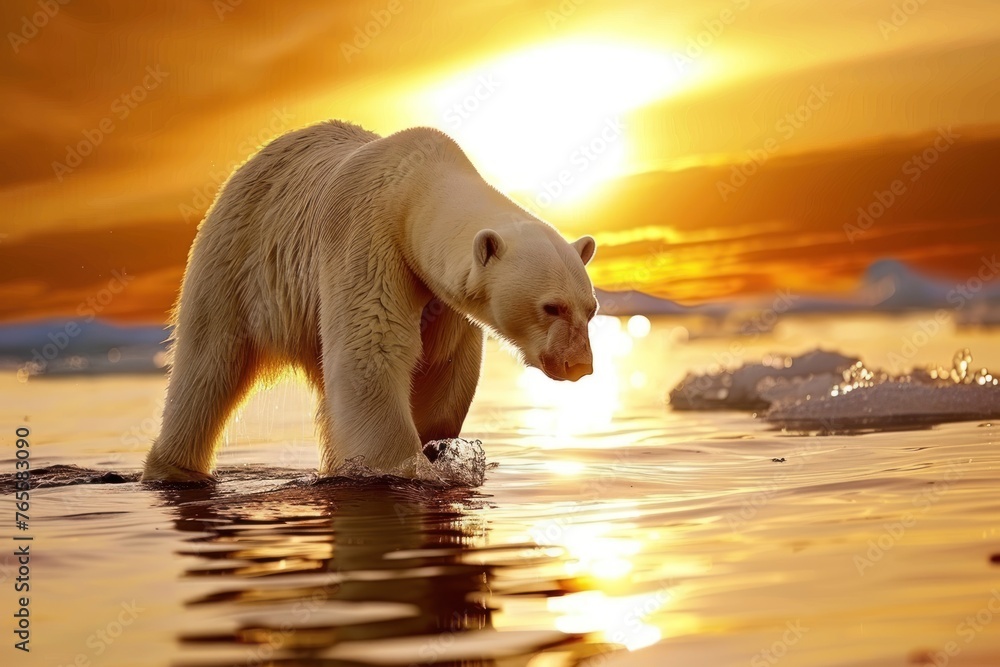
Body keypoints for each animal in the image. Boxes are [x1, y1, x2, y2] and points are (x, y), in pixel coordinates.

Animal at [141, 120, 598, 482]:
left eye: (590, 309)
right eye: (551, 306)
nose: (579, 364)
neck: (415, 183)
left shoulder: (442, 298)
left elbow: (444, 366)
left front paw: (436, 446)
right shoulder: (368, 241)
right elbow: (371, 351)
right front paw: (406, 468)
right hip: (237, 260)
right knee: (207, 364)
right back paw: (175, 468)